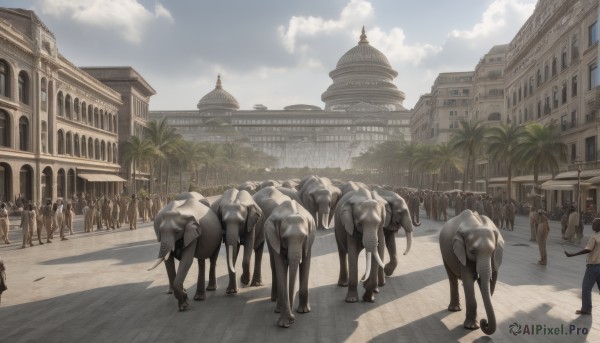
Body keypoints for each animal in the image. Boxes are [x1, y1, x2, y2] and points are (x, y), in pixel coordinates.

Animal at [264, 200, 316, 330]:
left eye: (304, 238)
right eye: (284, 239)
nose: (293, 319)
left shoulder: (309, 241)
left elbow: (306, 263)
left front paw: (304, 311)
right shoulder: (276, 239)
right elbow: (280, 268)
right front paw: (284, 324)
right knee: (274, 267)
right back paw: (278, 309)